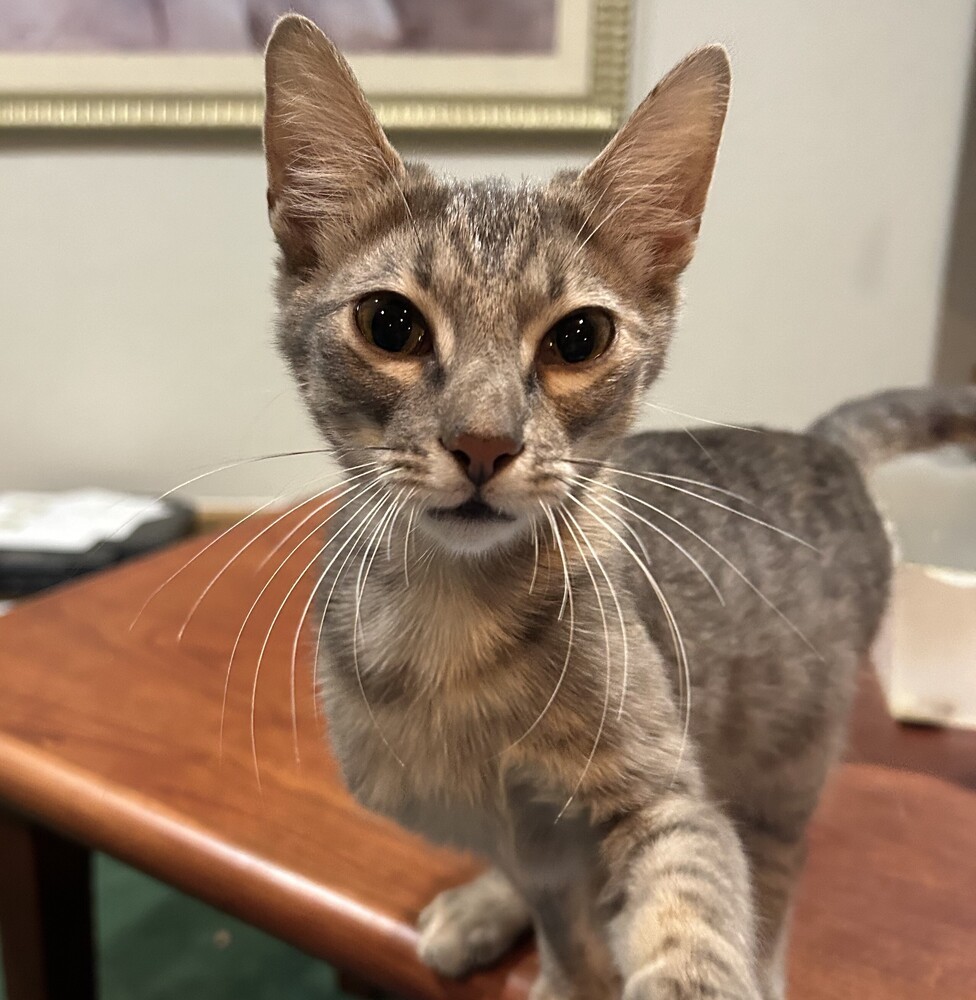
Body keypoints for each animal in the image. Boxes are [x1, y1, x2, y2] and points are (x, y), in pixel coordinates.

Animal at [260, 15, 976, 1000]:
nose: (483, 442)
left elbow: (692, 895)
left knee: (772, 876)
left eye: (579, 337)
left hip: (788, 765)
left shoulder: (667, 797)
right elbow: (562, 925)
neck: (456, 623)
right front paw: (560, 970)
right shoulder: (530, 842)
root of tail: (821, 441)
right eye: (390, 324)